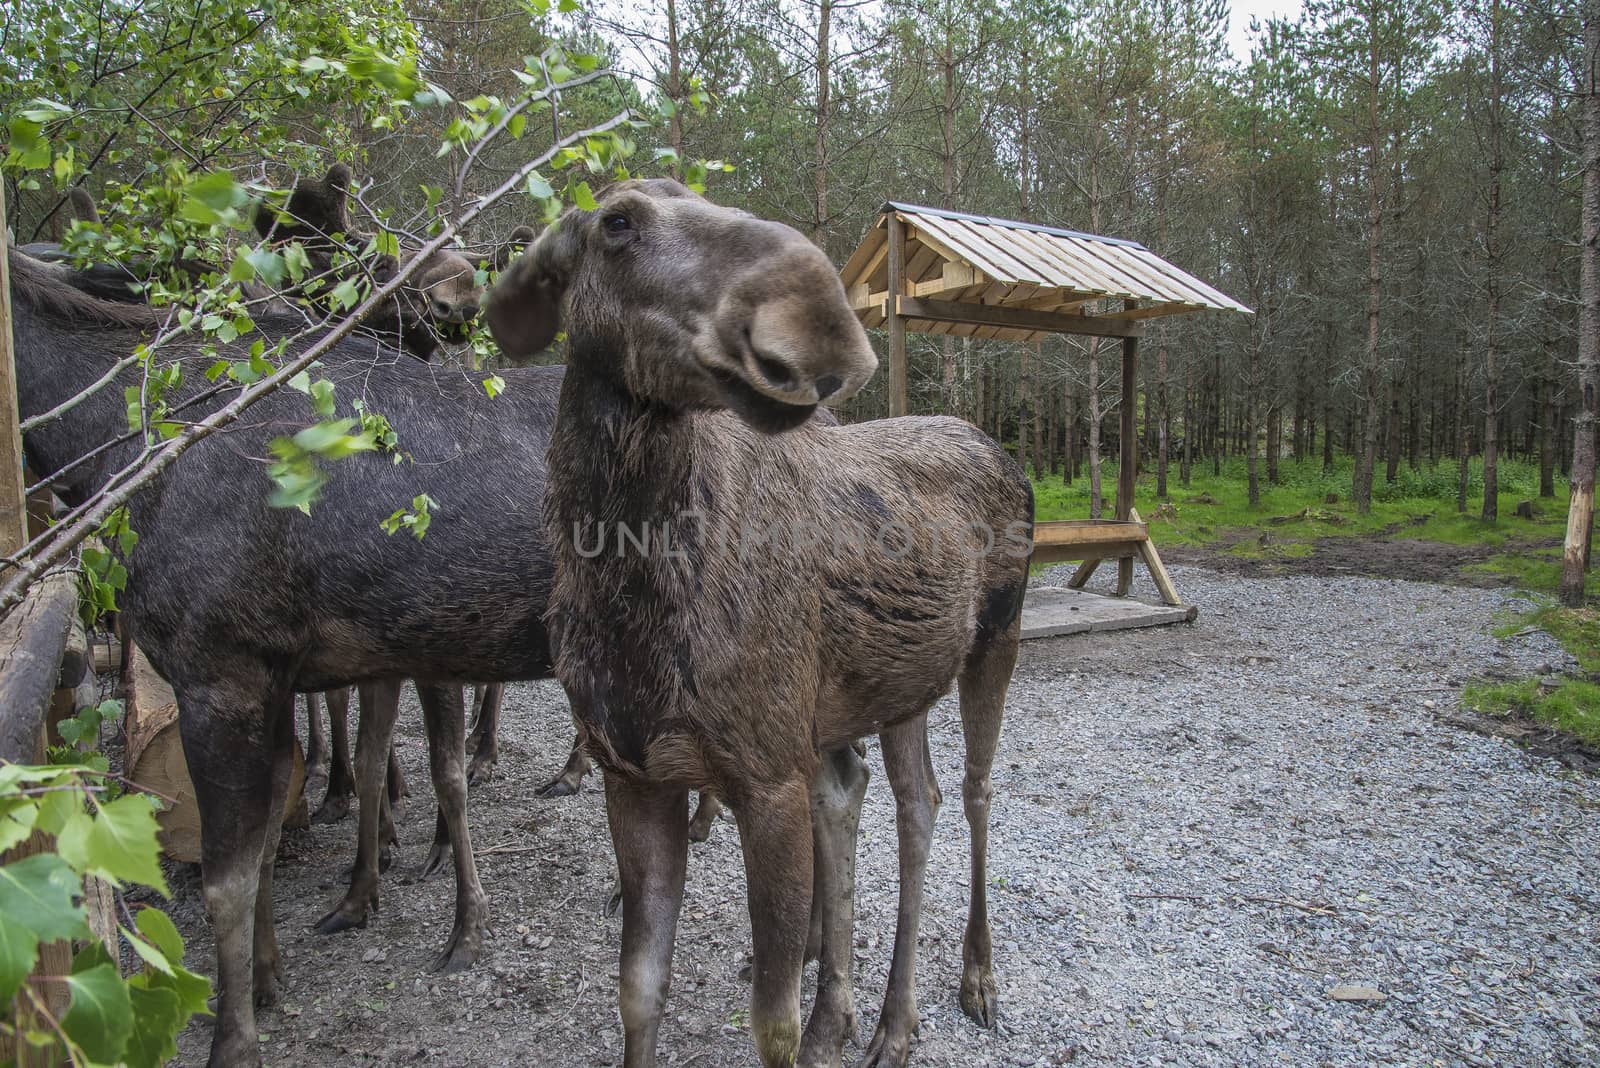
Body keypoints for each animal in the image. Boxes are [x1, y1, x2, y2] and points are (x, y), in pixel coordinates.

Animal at [492, 177, 1030, 1068]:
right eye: (617, 222)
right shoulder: (634, 773)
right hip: (895, 685)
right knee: (908, 797)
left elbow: (770, 1025)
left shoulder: (767, 775)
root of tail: (1000, 446)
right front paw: (822, 994)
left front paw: (813, 1008)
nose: (819, 317)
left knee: (974, 791)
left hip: (996, 638)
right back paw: (870, 1007)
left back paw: (955, 988)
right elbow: (637, 990)